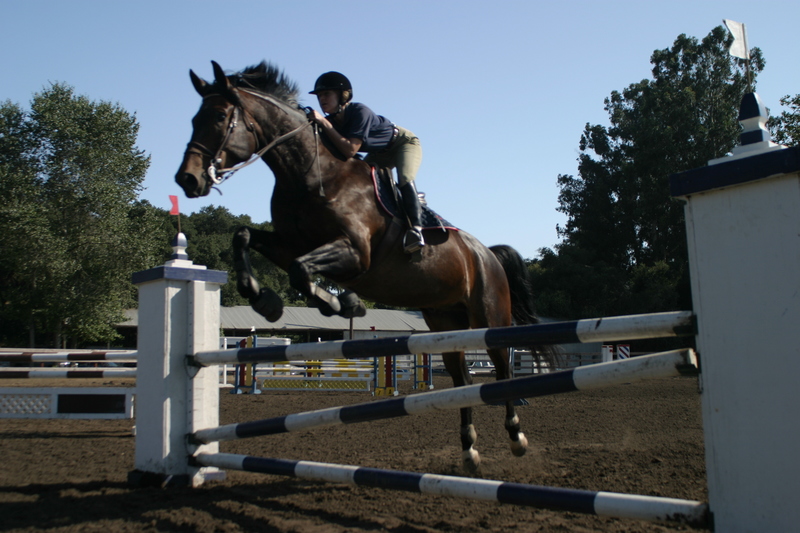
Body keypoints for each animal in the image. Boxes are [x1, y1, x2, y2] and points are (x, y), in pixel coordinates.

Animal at [175, 61, 558, 472]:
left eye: (219, 117)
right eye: (194, 118)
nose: (187, 179)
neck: (310, 172)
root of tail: (486, 253)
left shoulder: (355, 253)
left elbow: (301, 271)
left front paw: (341, 303)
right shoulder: (291, 244)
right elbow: (246, 237)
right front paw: (267, 301)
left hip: (490, 316)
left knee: (502, 369)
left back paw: (516, 438)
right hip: (446, 322)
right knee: (462, 380)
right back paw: (470, 450)